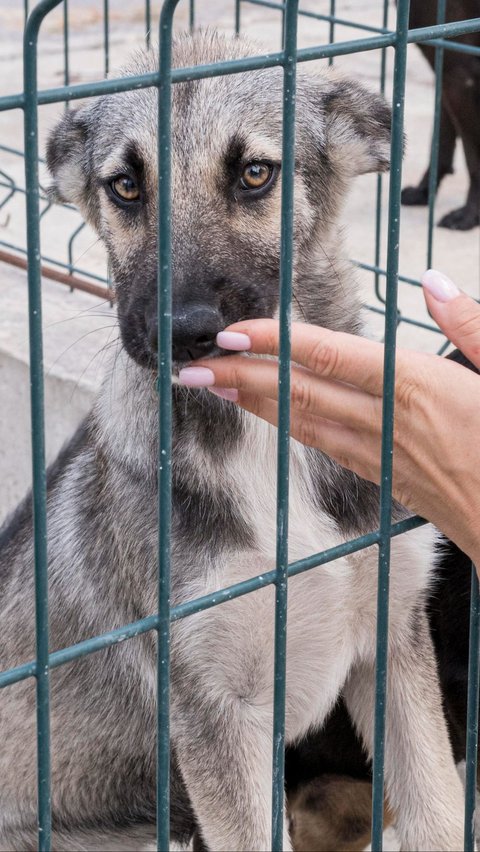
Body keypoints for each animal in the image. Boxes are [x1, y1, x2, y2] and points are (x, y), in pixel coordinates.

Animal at [0, 33, 464, 852]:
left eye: (254, 173)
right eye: (126, 186)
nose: (180, 332)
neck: (267, 442)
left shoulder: (393, 641)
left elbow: (438, 808)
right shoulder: (215, 714)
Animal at [402, 0, 480, 230]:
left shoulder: (459, 74)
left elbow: (473, 158)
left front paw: (469, 214)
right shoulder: (446, 69)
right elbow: (440, 141)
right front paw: (424, 192)